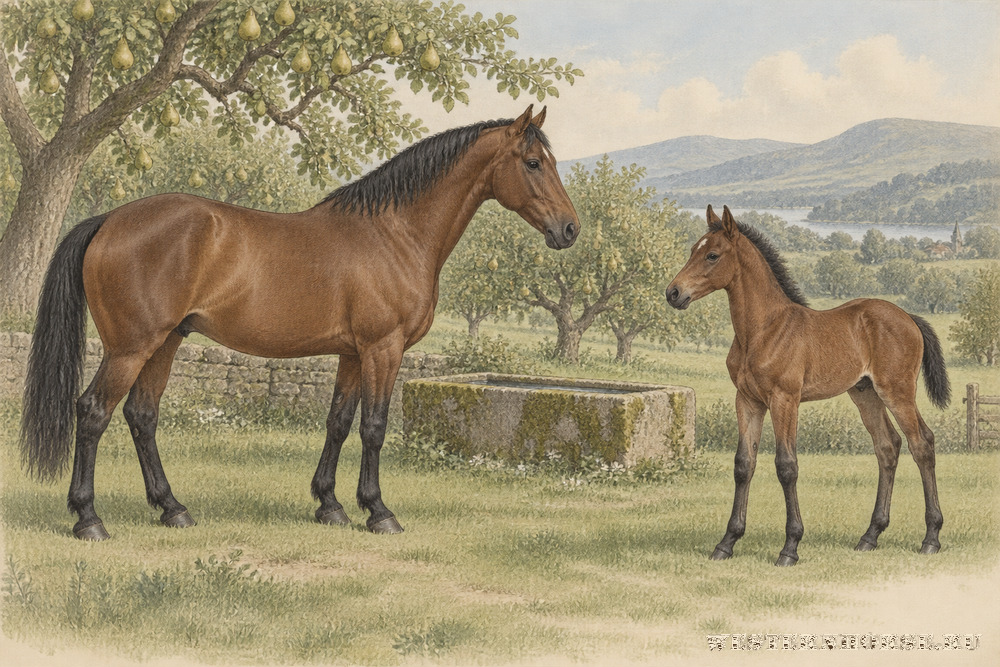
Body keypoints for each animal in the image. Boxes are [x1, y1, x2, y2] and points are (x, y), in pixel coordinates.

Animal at [21, 105, 579, 540]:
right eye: (533, 163)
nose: (570, 229)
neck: (394, 233)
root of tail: (109, 220)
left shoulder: (353, 353)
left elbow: (338, 423)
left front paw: (330, 505)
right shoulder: (383, 349)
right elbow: (374, 427)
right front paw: (379, 512)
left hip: (165, 343)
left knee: (142, 416)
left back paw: (173, 509)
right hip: (131, 347)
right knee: (93, 412)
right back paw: (89, 519)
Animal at [665, 205, 949, 566]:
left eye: (712, 255)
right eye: (692, 250)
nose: (673, 293)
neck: (762, 330)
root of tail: (909, 317)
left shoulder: (784, 399)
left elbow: (786, 465)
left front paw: (790, 547)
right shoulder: (747, 401)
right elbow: (744, 464)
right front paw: (726, 543)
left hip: (897, 392)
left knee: (922, 444)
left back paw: (931, 538)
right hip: (866, 394)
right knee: (888, 447)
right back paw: (869, 536)